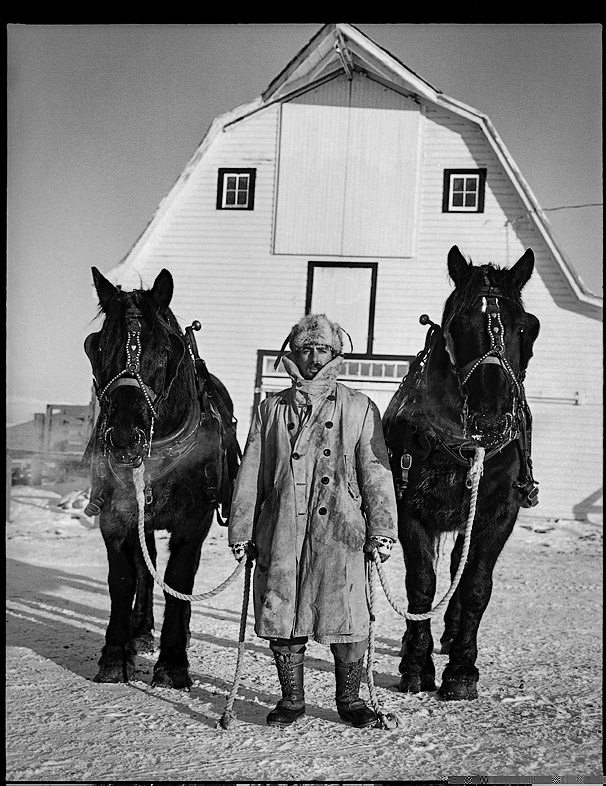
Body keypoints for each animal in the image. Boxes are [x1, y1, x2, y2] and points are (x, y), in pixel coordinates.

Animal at [81, 268, 242, 688]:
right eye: (97, 347)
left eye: (167, 351)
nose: (124, 437)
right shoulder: (117, 517)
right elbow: (124, 579)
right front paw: (116, 655)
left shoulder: (194, 523)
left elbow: (179, 581)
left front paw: (173, 663)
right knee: (146, 565)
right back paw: (140, 631)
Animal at [384, 245, 540, 700]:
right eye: (456, 325)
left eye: (527, 327)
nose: (491, 419)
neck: (465, 447)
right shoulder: (412, 510)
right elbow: (421, 584)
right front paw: (416, 665)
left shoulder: (498, 514)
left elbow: (474, 585)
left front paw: (461, 669)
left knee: (460, 566)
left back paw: (452, 635)